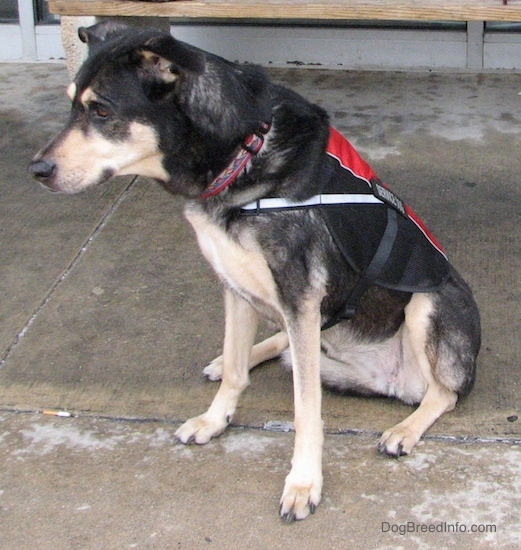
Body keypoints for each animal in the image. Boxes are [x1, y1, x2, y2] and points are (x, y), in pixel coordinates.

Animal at [28, 20, 480, 520]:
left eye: (102, 110)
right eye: (72, 103)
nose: (37, 169)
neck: (242, 151)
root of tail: (391, 382)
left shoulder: (299, 294)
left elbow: (306, 408)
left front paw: (303, 482)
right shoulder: (236, 284)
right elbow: (234, 372)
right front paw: (215, 417)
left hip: (428, 305)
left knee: (443, 391)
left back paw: (405, 428)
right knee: (284, 343)